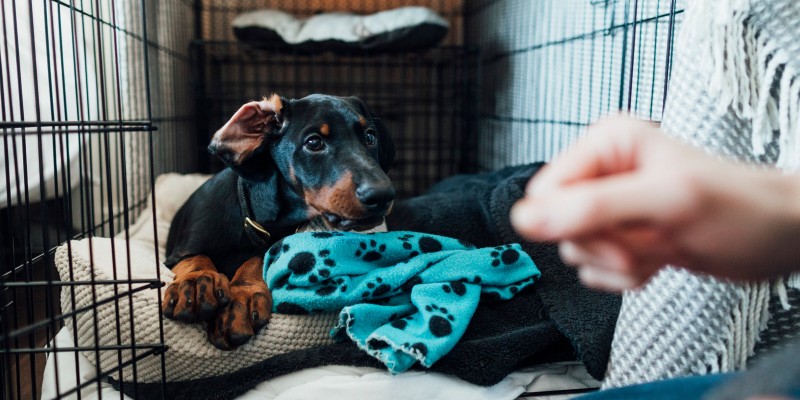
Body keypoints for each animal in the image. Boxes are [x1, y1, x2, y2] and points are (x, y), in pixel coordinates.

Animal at [163, 94, 396, 350]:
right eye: (314, 143)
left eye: (370, 137)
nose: (383, 195)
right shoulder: (175, 254)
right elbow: (195, 257)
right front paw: (197, 281)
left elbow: (257, 260)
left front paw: (241, 298)